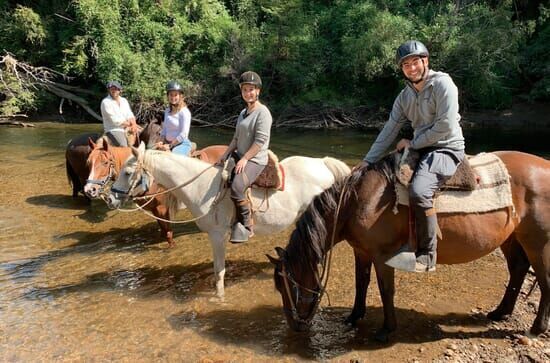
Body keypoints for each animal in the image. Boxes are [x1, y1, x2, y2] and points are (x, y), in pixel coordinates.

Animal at [84, 139, 226, 247]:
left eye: (105, 162)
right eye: (88, 163)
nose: (89, 190)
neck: (152, 179)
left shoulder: (162, 209)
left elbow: (168, 234)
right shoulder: (154, 210)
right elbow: (163, 231)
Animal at [107, 143, 350, 298]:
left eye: (127, 172)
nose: (110, 198)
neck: (201, 186)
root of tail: (323, 163)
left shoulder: (217, 235)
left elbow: (219, 272)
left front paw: (219, 298)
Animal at [270, 152, 548, 342]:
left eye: (286, 286)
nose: (294, 325)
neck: (359, 201)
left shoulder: (382, 255)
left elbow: (386, 291)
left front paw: (386, 329)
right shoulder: (361, 251)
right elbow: (361, 283)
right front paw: (354, 317)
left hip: (538, 241)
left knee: (544, 281)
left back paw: (536, 329)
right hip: (512, 238)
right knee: (518, 270)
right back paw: (500, 312)